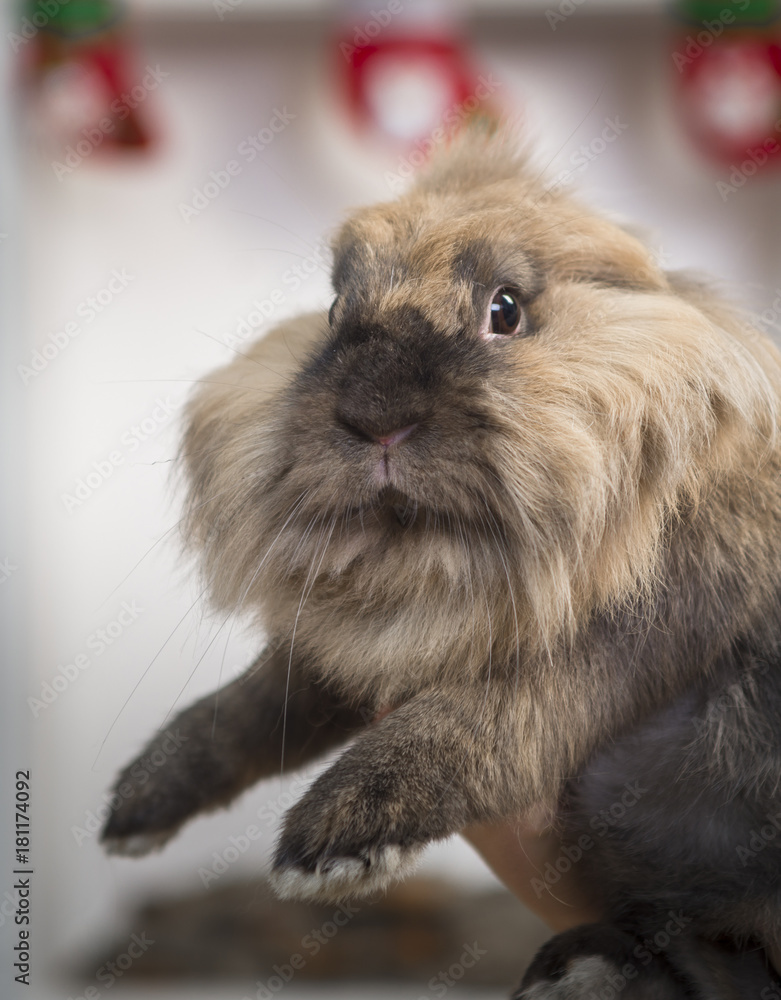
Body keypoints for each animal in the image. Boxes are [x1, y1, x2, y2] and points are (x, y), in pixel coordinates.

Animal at [101, 125, 781, 997]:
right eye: (333, 310)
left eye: (505, 309)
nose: (373, 418)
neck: (434, 561)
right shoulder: (354, 653)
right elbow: (253, 704)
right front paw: (138, 808)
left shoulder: (623, 638)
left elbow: (481, 719)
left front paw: (335, 843)